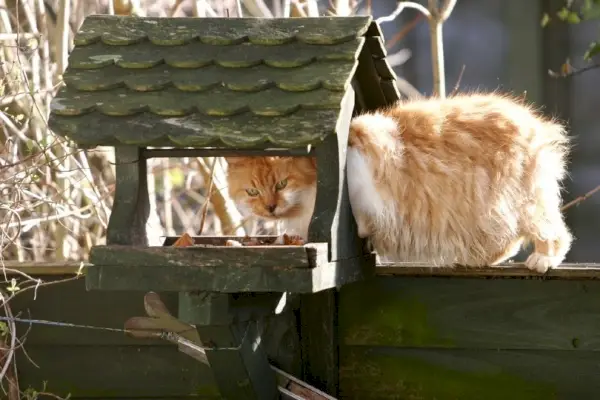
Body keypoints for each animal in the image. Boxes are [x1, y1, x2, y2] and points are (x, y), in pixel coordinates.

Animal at [225, 92, 572, 274]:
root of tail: (535, 124)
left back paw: (543, 260)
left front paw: (363, 229)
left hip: (521, 202)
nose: (270, 208)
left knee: (553, 233)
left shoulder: (368, 150)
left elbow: (365, 210)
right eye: (253, 191)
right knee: (505, 242)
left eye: (282, 184)